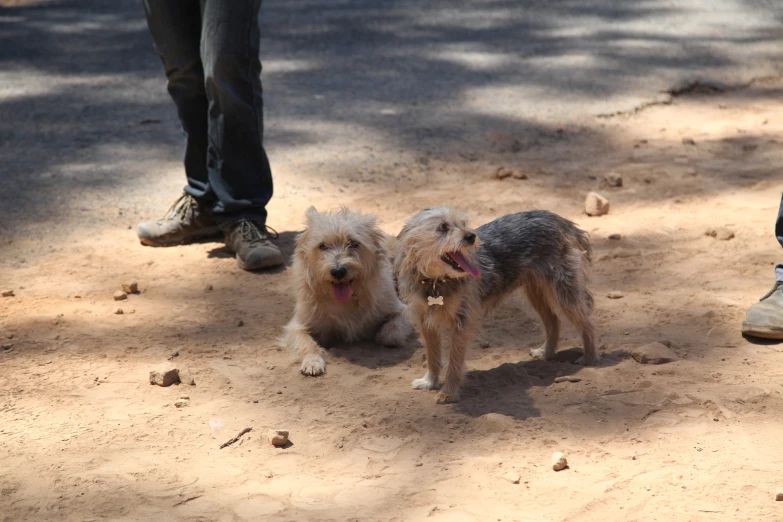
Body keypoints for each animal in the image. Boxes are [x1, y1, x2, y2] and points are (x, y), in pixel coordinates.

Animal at [282, 206, 416, 374]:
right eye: (322, 246)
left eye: (353, 243)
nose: (338, 271)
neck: (347, 300)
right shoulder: (297, 326)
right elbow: (307, 343)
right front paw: (313, 361)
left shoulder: (402, 310)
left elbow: (391, 332)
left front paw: (383, 334)